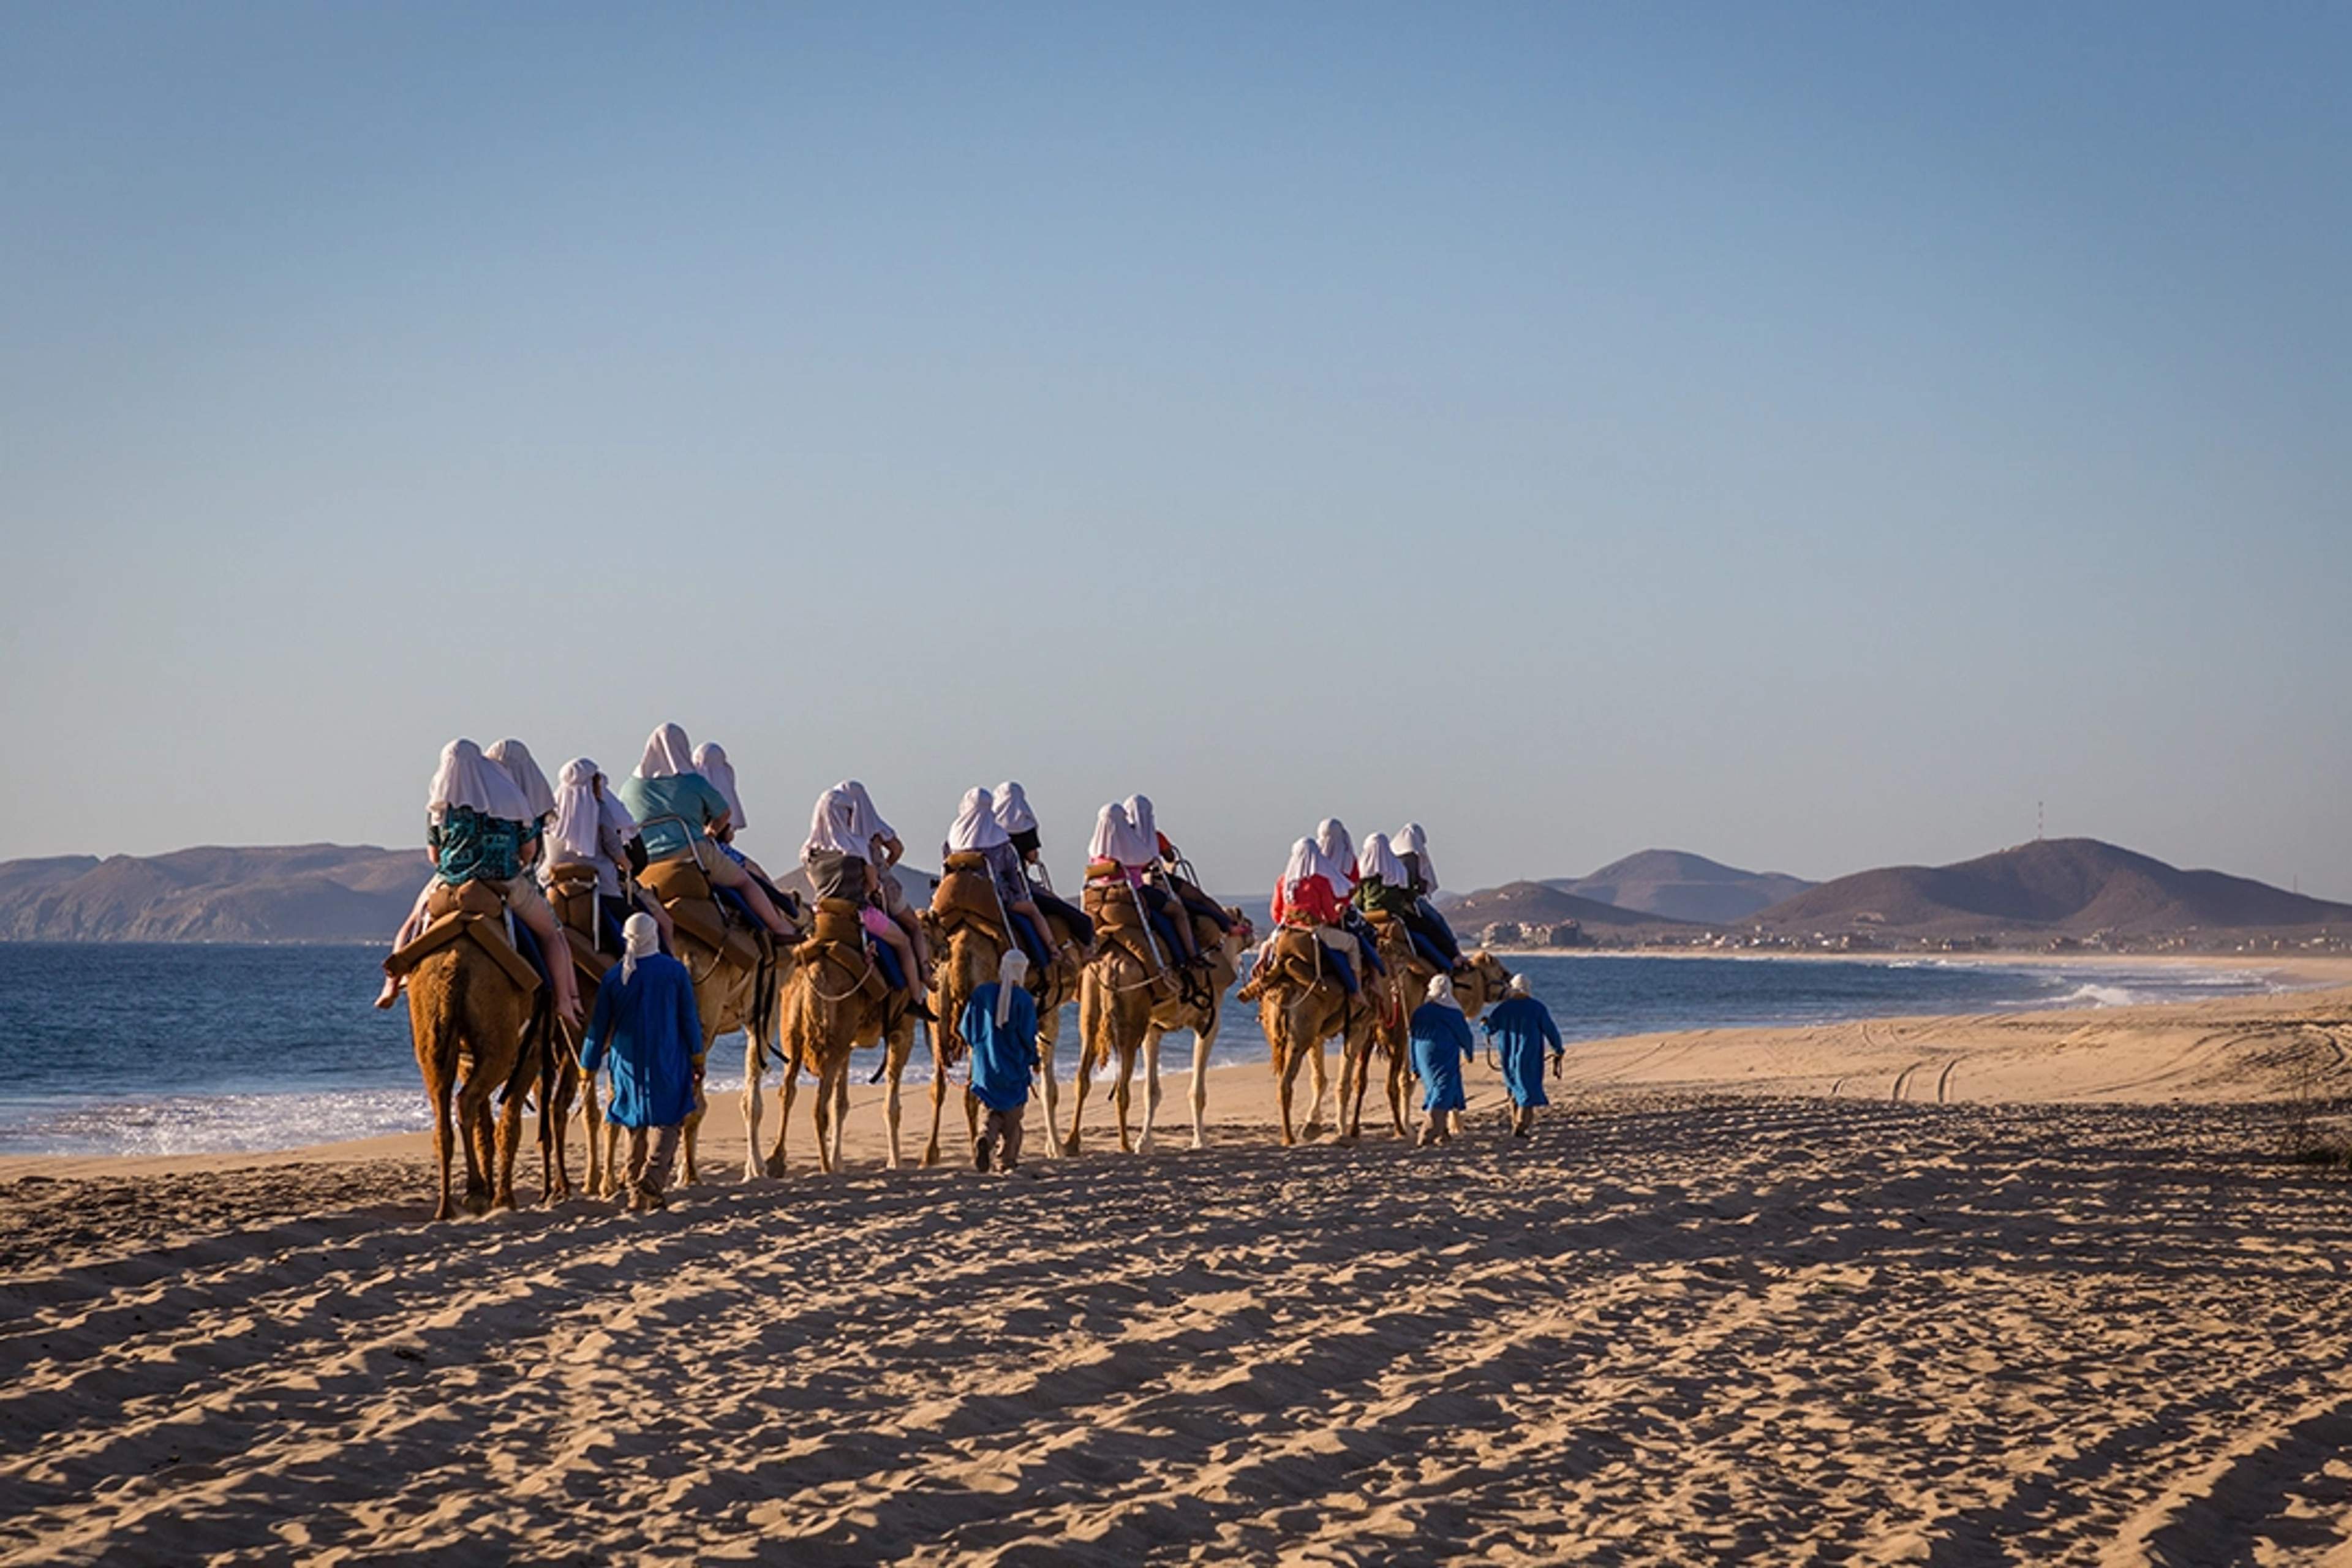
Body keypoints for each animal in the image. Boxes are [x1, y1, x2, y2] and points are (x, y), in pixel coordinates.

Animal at [1061, 898, 1250, 1156]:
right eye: (1242, 921)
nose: (1252, 928)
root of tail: (1111, 965)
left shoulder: (1154, 1029)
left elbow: (1151, 1091)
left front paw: (1145, 1142)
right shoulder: (1210, 1022)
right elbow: (1196, 1091)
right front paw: (1200, 1141)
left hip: (1092, 1007)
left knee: (1083, 1076)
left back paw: (1072, 1143)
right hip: (1130, 1020)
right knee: (1122, 1084)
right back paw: (1124, 1145)